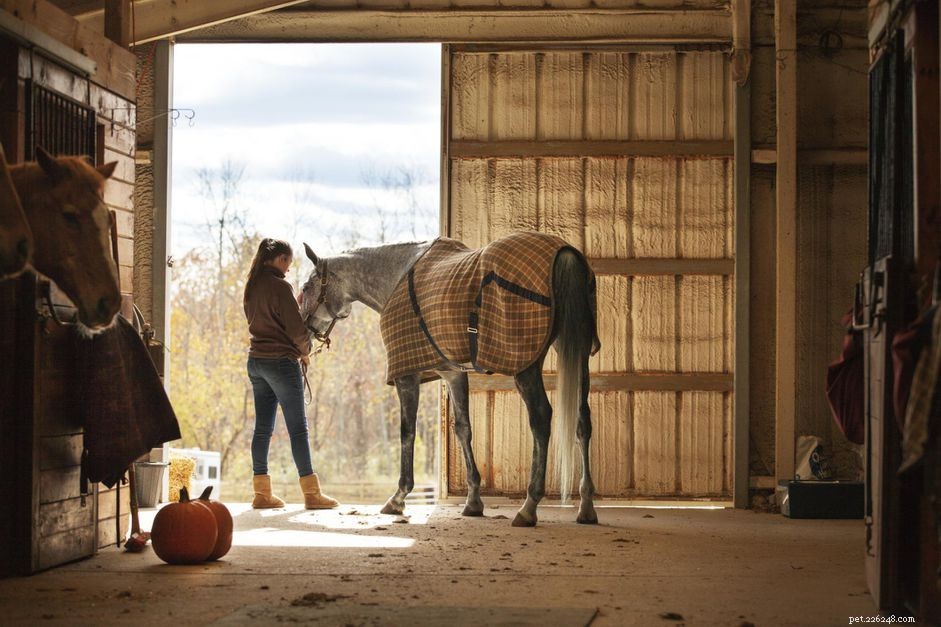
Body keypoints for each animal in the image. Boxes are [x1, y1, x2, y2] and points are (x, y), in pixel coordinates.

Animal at [299, 232, 600, 527]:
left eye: (306, 287)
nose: (306, 330)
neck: (397, 275)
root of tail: (564, 253)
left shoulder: (407, 375)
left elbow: (407, 431)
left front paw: (398, 498)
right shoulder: (453, 373)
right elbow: (463, 428)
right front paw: (473, 501)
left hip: (526, 367)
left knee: (541, 419)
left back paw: (528, 508)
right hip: (578, 355)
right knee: (583, 422)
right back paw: (586, 506)